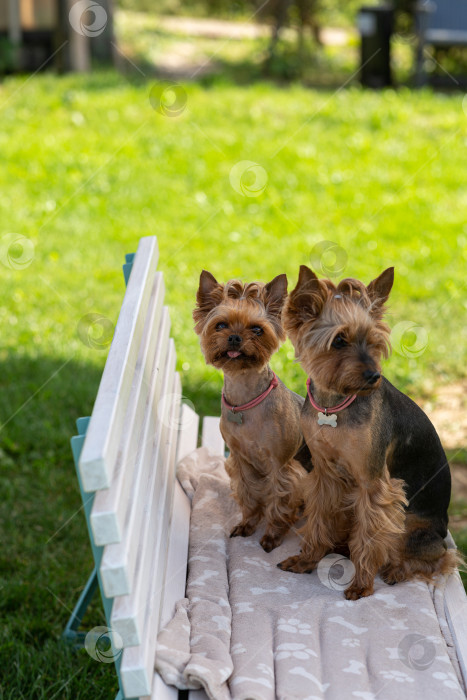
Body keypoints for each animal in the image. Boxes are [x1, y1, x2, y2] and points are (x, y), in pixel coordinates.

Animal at [192, 270, 312, 548]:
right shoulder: (241, 461)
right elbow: (248, 494)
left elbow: (280, 501)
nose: (235, 337)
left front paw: (272, 536)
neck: (246, 399)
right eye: (220, 325)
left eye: (257, 330)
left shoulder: (281, 466)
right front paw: (247, 524)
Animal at [278, 266, 460, 600]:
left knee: (437, 558)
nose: (373, 375)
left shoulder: (372, 484)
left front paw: (361, 584)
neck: (334, 405)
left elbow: (370, 535)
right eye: (339, 341)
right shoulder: (324, 474)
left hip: (414, 526)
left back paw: (396, 569)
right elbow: (319, 517)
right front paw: (308, 559)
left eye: (374, 342)